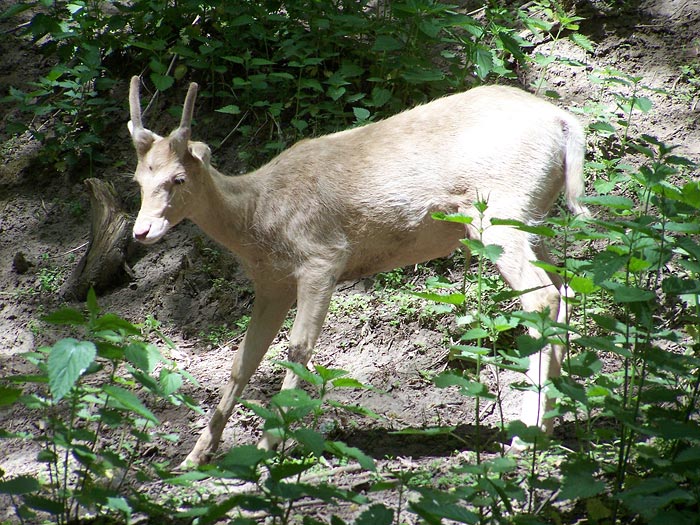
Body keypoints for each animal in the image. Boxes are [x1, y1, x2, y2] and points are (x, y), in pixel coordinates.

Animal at [127, 75, 592, 464]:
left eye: (178, 179)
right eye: (137, 180)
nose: (141, 231)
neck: (258, 221)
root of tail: (566, 122)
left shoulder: (322, 258)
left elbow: (298, 350)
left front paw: (267, 446)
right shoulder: (271, 284)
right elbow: (243, 360)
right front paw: (195, 458)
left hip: (499, 213)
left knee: (543, 296)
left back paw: (524, 439)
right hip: (530, 220)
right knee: (566, 289)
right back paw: (546, 430)